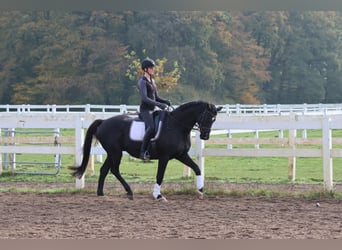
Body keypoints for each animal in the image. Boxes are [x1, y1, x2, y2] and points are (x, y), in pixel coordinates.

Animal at [70, 100, 222, 200]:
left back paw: (101, 193)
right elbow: (160, 175)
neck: (176, 125)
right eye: (207, 117)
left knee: (104, 170)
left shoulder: (181, 155)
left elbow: (197, 168)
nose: (205, 136)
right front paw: (158, 195)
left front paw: (201, 190)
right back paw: (129, 191)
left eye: (214, 119)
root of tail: (103, 122)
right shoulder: (164, 157)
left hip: (112, 153)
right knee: (114, 170)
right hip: (115, 153)